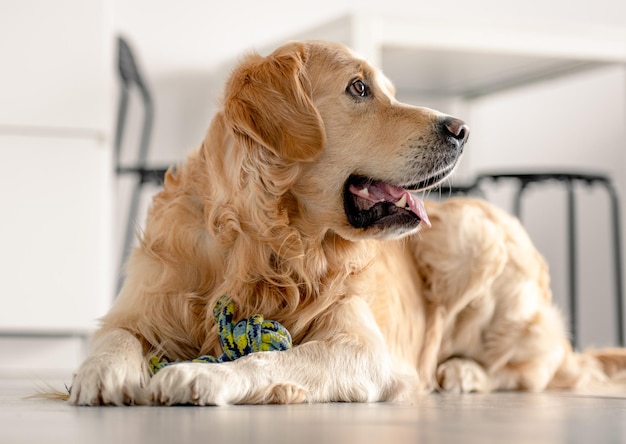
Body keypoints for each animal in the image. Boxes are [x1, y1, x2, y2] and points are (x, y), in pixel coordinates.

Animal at [68, 40, 624, 404]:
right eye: (358, 88)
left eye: (389, 90)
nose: (463, 129)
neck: (268, 243)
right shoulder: (138, 307)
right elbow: (114, 336)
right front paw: (99, 374)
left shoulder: (364, 348)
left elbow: (273, 358)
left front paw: (200, 377)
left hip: (472, 234)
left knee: (530, 369)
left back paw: (463, 373)